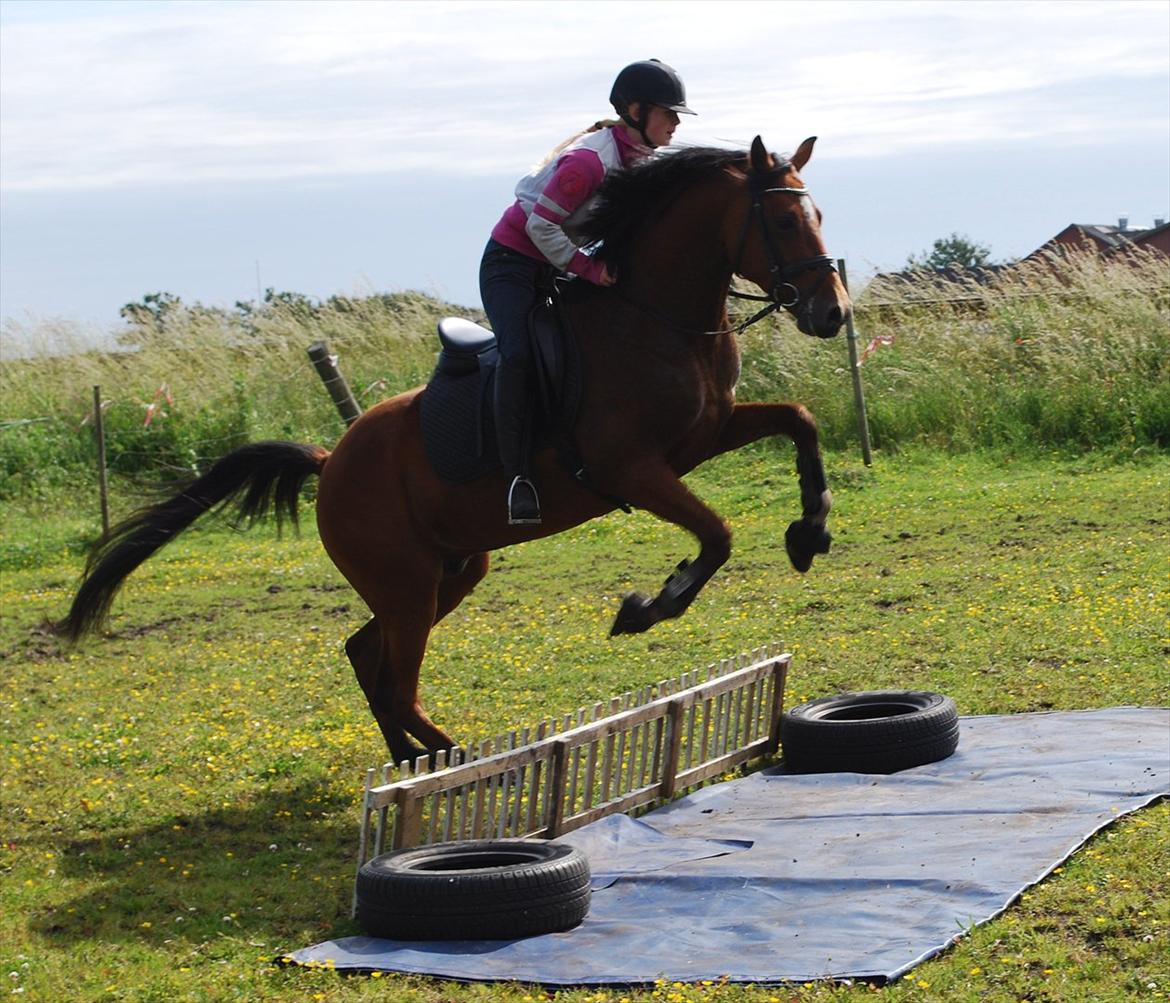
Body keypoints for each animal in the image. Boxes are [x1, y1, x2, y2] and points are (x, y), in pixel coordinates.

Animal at [57, 132, 851, 758]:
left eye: (819, 214)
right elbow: (716, 535)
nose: (832, 314)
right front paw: (650, 606)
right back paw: (465, 766)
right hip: (408, 581)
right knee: (395, 682)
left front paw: (810, 531)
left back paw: (413, 761)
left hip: (450, 569)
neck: (654, 315)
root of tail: (330, 461)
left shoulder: (704, 437)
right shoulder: (635, 468)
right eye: (785, 219)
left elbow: (800, 419)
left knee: (366, 656)